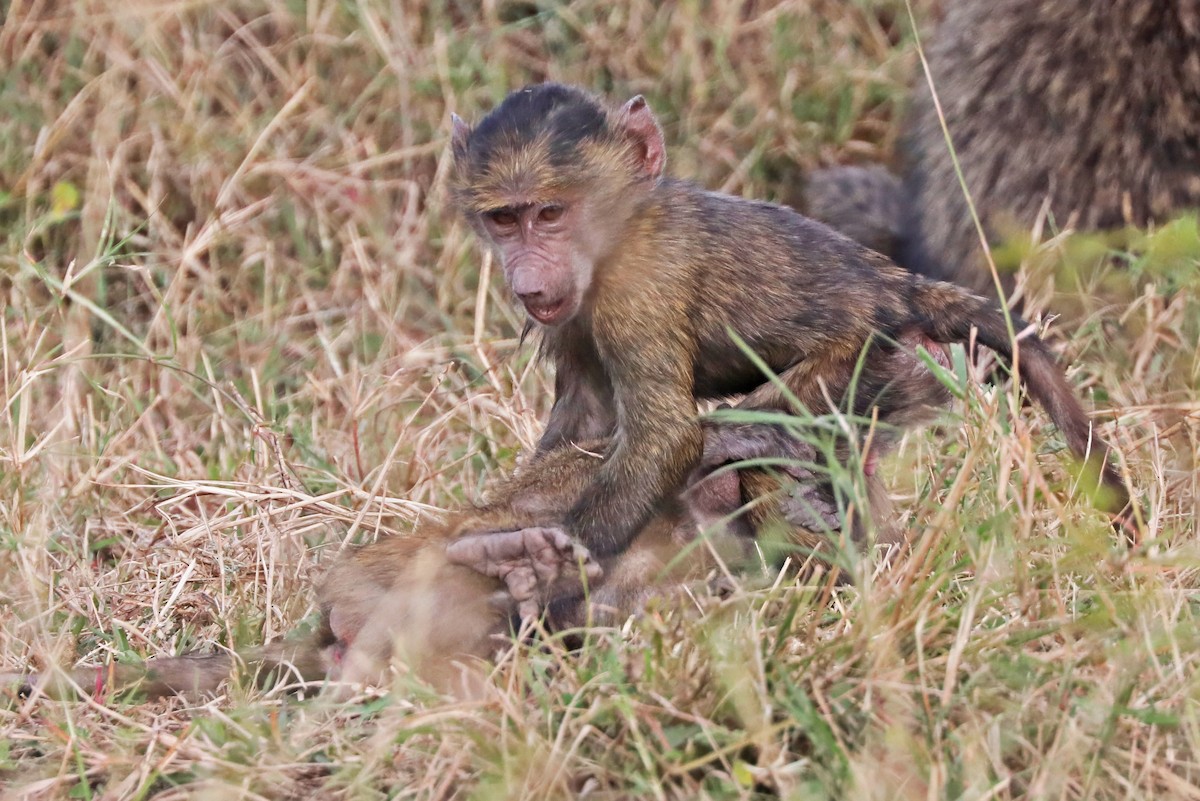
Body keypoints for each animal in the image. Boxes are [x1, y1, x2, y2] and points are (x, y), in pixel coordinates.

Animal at [445, 83, 1134, 590]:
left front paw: (550, 562)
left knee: (761, 448)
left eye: (550, 213)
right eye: (504, 219)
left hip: (870, 362)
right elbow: (585, 420)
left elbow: (668, 439)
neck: (621, 228)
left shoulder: (639, 289)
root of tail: (900, 288)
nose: (527, 280)